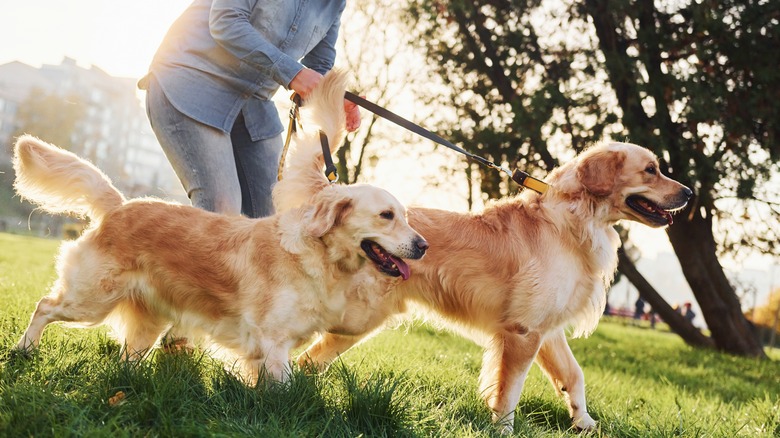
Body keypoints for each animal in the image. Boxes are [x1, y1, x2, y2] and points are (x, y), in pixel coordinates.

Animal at [10, 71, 426, 384]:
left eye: (406, 217)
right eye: (386, 215)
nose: (423, 246)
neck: (318, 258)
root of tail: (121, 205)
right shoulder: (273, 342)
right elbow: (287, 389)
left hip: (147, 319)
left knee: (127, 357)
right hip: (91, 298)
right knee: (44, 306)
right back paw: (24, 350)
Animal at [278, 136, 692, 428]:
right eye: (651, 169)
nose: (689, 192)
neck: (574, 221)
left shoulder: (546, 330)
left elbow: (574, 375)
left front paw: (585, 422)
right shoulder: (523, 332)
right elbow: (510, 393)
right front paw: (504, 429)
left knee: (309, 361)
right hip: (357, 318)